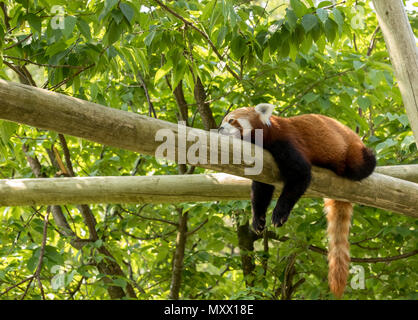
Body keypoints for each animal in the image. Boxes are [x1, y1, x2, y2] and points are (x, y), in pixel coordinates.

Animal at [219, 104, 376, 298]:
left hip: (353, 152)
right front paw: (258, 219)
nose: (220, 129)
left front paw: (279, 213)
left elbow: (300, 175)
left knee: (362, 164)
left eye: (231, 120)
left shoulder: (287, 142)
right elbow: (261, 190)